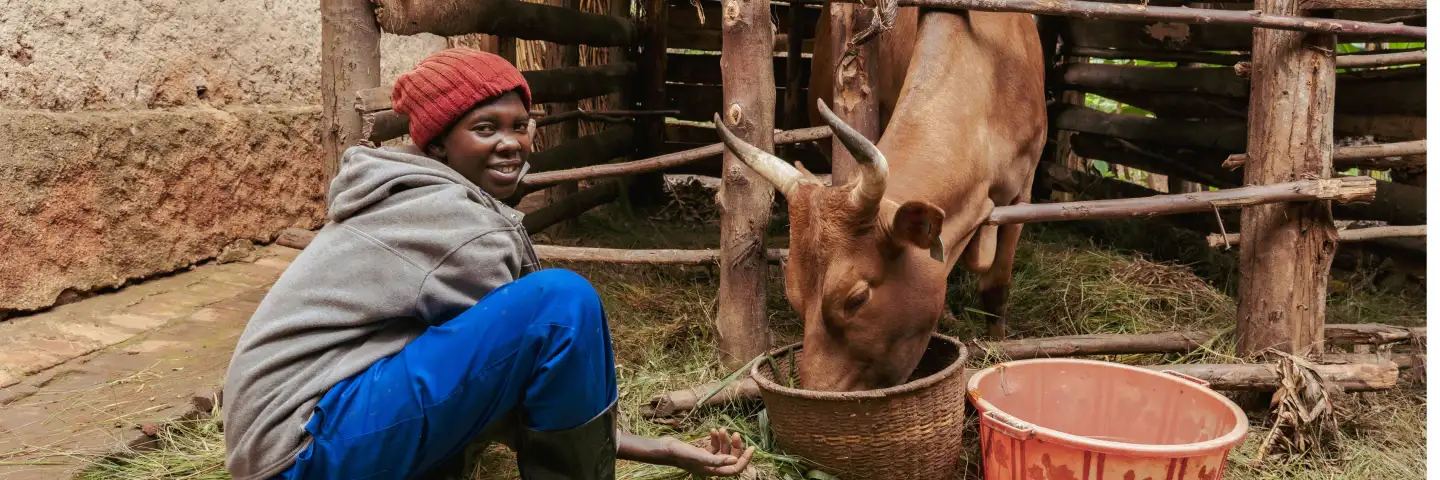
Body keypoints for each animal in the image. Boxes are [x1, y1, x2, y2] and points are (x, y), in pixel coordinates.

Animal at [713, 6, 1048, 392]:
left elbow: (996, 288)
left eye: (856, 299)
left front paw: (998, 344)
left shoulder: (1024, 191)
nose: (818, 393)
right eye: (795, 297)